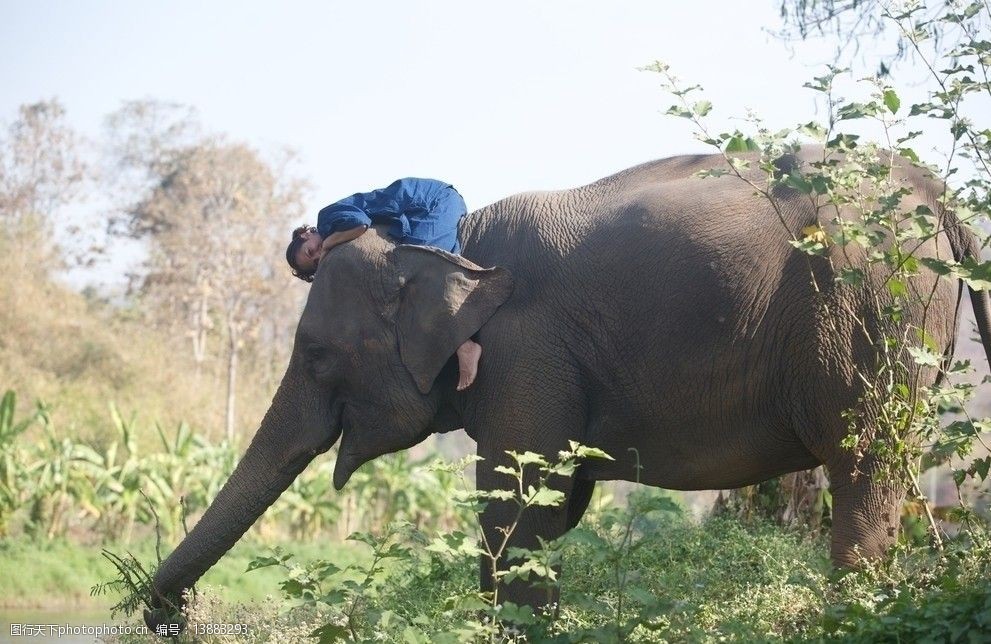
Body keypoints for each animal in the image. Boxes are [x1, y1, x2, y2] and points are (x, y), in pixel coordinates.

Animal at [143, 145, 988, 628]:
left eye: (316, 356)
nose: (168, 615)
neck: (456, 245)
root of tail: (936, 193)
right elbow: (554, 503)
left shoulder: (525, 347)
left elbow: (517, 503)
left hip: (868, 305)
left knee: (862, 464)